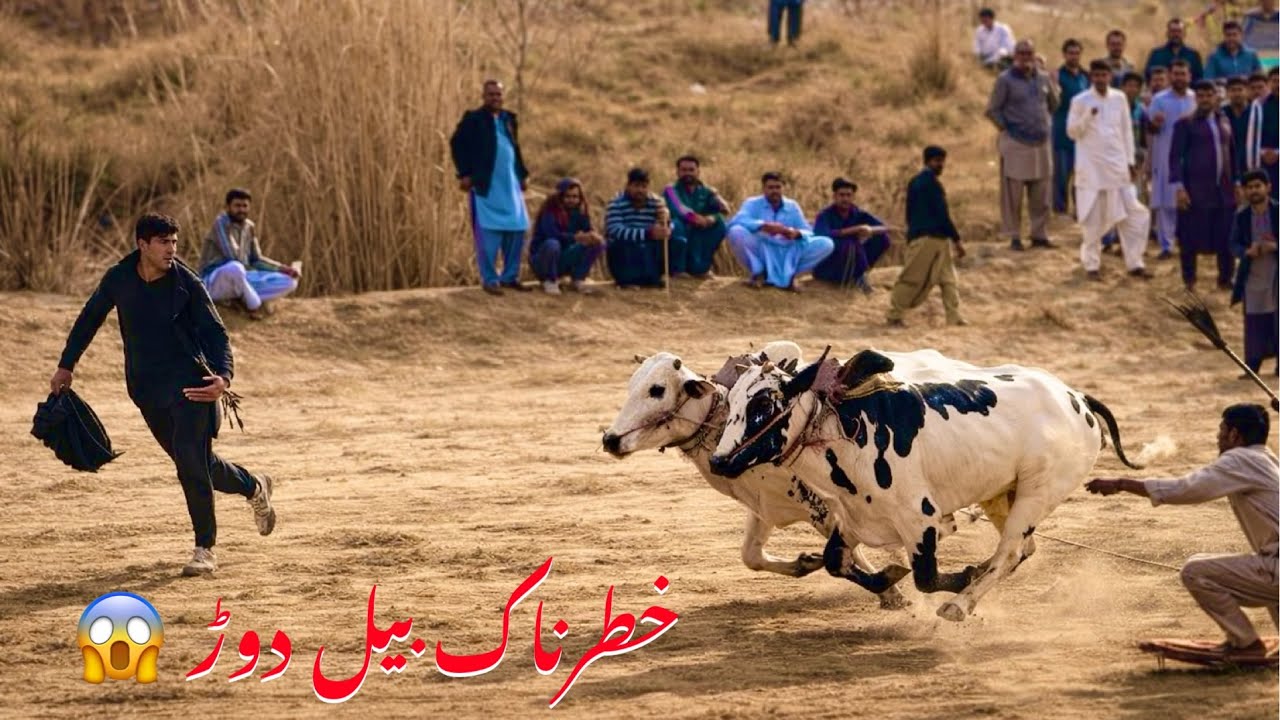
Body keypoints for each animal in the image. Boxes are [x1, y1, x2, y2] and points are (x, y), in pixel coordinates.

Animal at [602, 342, 909, 609]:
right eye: (632, 385)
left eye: (657, 389)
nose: (610, 439)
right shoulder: (764, 507)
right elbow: (750, 555)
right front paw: (805, 562)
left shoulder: (826, 509)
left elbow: (850, 554)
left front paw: (894, 594)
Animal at [708, 347, 1142, 622]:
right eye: (732, 403)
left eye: (763, 404)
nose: (718, 460)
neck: (847, 431)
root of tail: (1076, 397)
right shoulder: (853, 518)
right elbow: (836, 562)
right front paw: (889, 577)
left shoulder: (919, 520)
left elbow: (926, 577)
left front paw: (958, 576)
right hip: (1001, 495)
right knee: (1023, 549)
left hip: (1038, 494)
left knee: (1010, 552)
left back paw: (961, 605)